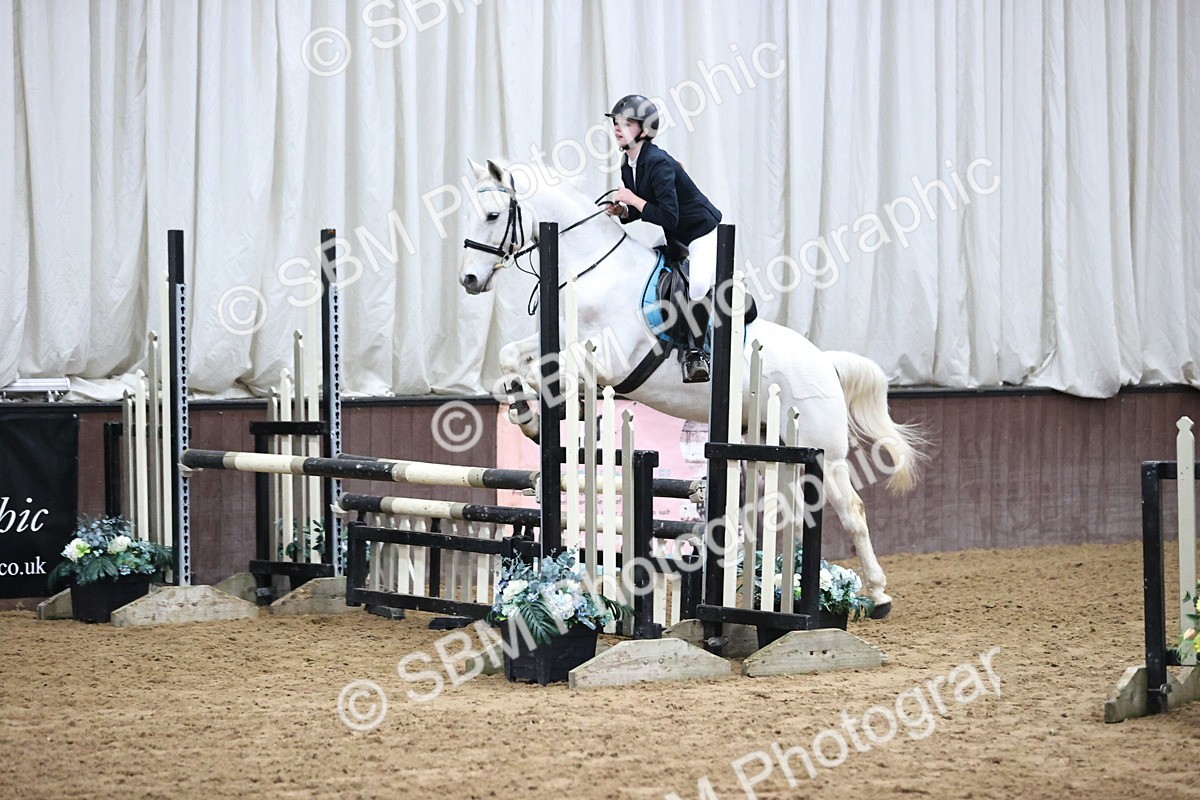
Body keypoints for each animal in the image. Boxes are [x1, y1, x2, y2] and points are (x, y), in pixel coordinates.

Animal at [458, 158, 924, 617]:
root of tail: (825, 361)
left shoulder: (611, 361)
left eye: (493, 215)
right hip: (773, 446)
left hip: (825, 453)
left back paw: (877, 596)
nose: (468, 280)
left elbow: (550, 374)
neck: (594, 269)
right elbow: (511, 358)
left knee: (852, 510)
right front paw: (528, 418)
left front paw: (550, 414)